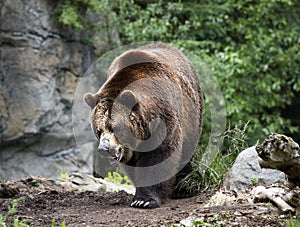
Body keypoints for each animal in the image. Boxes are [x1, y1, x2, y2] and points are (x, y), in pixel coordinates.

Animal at [83, 43, 203, 208]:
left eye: (115, 128)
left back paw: (184, 188)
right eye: (98, 130)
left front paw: (144, 200)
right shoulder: (130, 147)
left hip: (192, 113)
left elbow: (160, 155)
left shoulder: (163, 120)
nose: (104, 149)